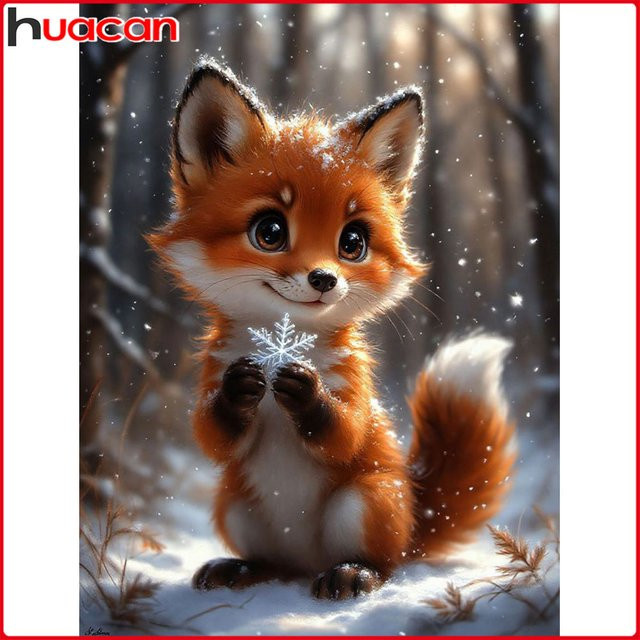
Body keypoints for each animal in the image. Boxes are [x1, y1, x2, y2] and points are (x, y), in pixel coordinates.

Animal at [148, 59, 515, 600]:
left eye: (353, 242)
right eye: (270, 232)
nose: (324, 279)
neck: (283, 345)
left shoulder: (355, 385)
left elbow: (345, 432)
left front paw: (307, 392)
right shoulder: (211, 374)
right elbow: (211, 433)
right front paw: (240, 392)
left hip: (364, 500)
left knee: (385, 562)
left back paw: (353, 573)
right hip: (235, 506)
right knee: (272, 563)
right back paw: (241, 569)